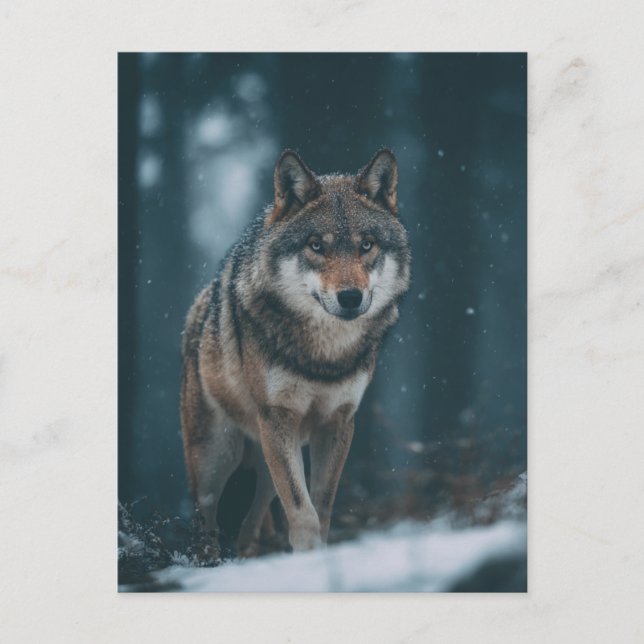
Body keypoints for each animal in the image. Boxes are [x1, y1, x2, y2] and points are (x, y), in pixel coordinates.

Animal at [180, 148, 410, 555]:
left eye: (367, 244)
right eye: (316, 245)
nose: (350, 298)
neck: (325, 356)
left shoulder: (338, 421)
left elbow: (321, 506)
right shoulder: (278, 416)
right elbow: (302, 511)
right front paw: (309, 556)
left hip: (263, 459)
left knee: (252, 521)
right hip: (218, 458)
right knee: (205, 519)